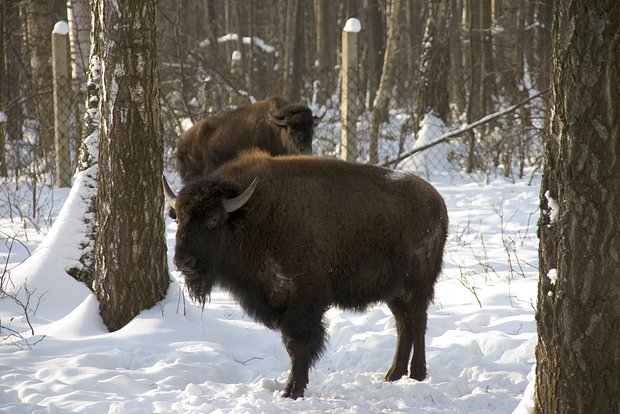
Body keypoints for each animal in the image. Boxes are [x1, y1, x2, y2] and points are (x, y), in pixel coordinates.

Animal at [162, 150, 448, 400]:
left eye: (213, 220)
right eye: (178, 219)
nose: (182, 261)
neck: (251, 216)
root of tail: (437, 201)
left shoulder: (304, 300)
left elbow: (297, 344)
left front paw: (292, 391)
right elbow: (292, 345)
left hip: (417, 283)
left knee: (418, 319)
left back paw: (417, 373)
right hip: (394, 291)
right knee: (403, 323)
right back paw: (393, 375)